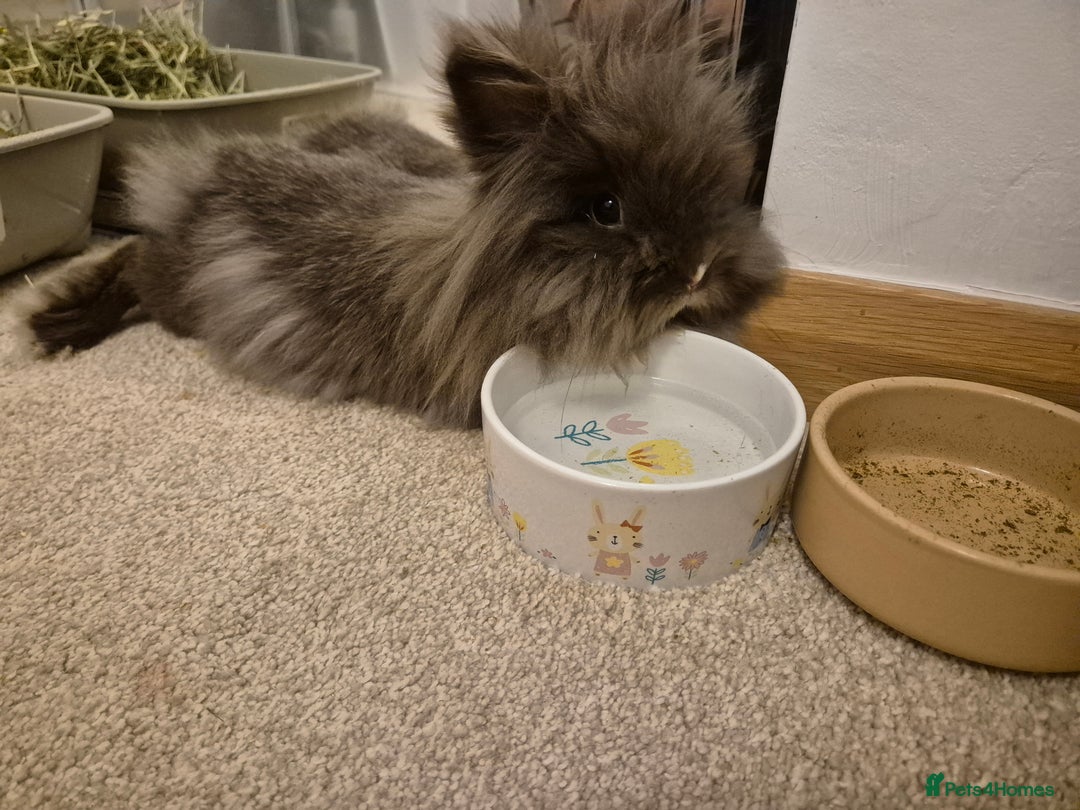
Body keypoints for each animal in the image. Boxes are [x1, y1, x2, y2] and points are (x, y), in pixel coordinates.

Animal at [11, 0, 784, 428]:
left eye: (723, 186)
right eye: (605, 208)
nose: (701, 270)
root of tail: (208, 171)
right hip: (178, 293)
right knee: (132, 261)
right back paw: (56, 324)